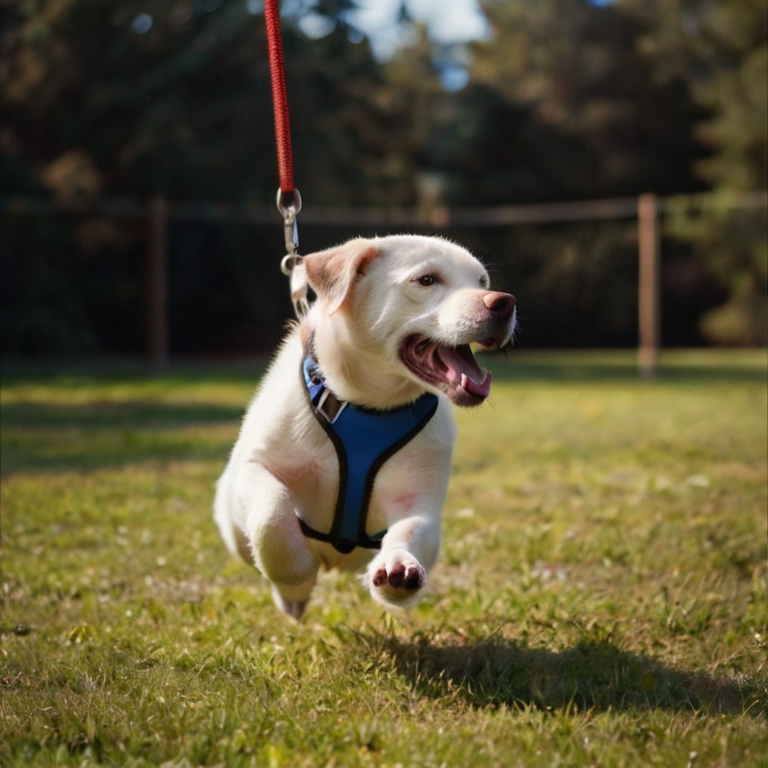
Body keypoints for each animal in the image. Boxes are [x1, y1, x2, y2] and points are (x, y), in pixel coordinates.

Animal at [216, 234, 516, 616]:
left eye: (482, 282)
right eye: (427, 280)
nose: (504, 303)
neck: (368, 405)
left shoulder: (420, 499)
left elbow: (412, 530)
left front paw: (399, 569)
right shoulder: (255, 468)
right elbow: (272, 514)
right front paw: (296, 581)